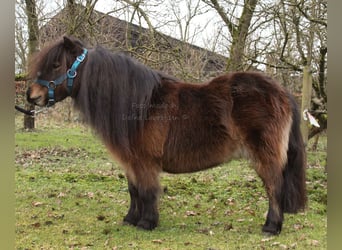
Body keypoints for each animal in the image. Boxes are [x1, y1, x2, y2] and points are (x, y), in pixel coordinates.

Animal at [25, 36, 306, 235]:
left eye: (56, 64)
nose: (32, 96)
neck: (140, 105)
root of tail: (281, 91)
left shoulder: (145, 162)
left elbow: (148, 191)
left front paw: (147, 222)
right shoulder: (131, 162)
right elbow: (133, 190)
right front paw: (131, 219)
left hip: (265, 155)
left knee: (274, 187)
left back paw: (271, 227)